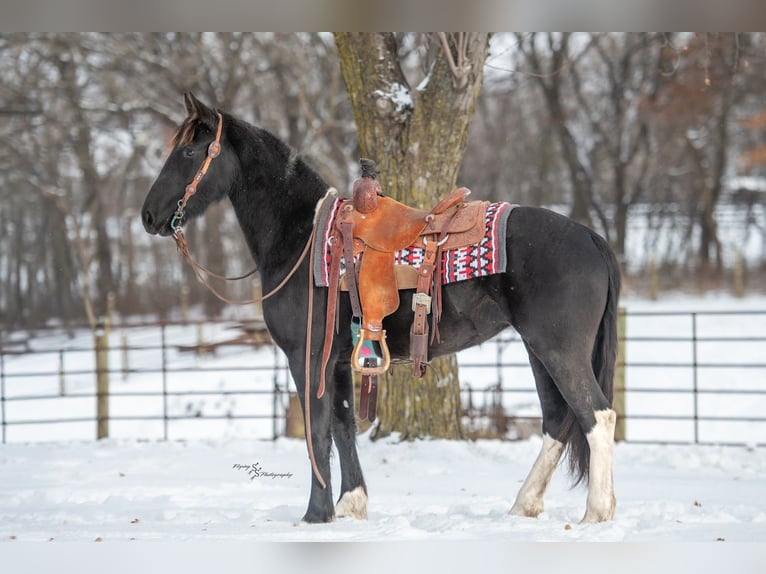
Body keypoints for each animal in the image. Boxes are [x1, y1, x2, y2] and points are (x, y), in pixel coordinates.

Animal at [141, 93, 621, 524]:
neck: (301, 238)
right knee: (558, 420)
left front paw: (316, 514)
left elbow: (317, 432)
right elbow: (343, 428)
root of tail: (589, 236)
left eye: (188, 151)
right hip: (538, 351)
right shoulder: (337, 362)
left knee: (596, 416)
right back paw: (524, 506)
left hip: (558, 350)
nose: (147, 216)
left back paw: (596, 513)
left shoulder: (307, 358)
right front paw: (350, 505)